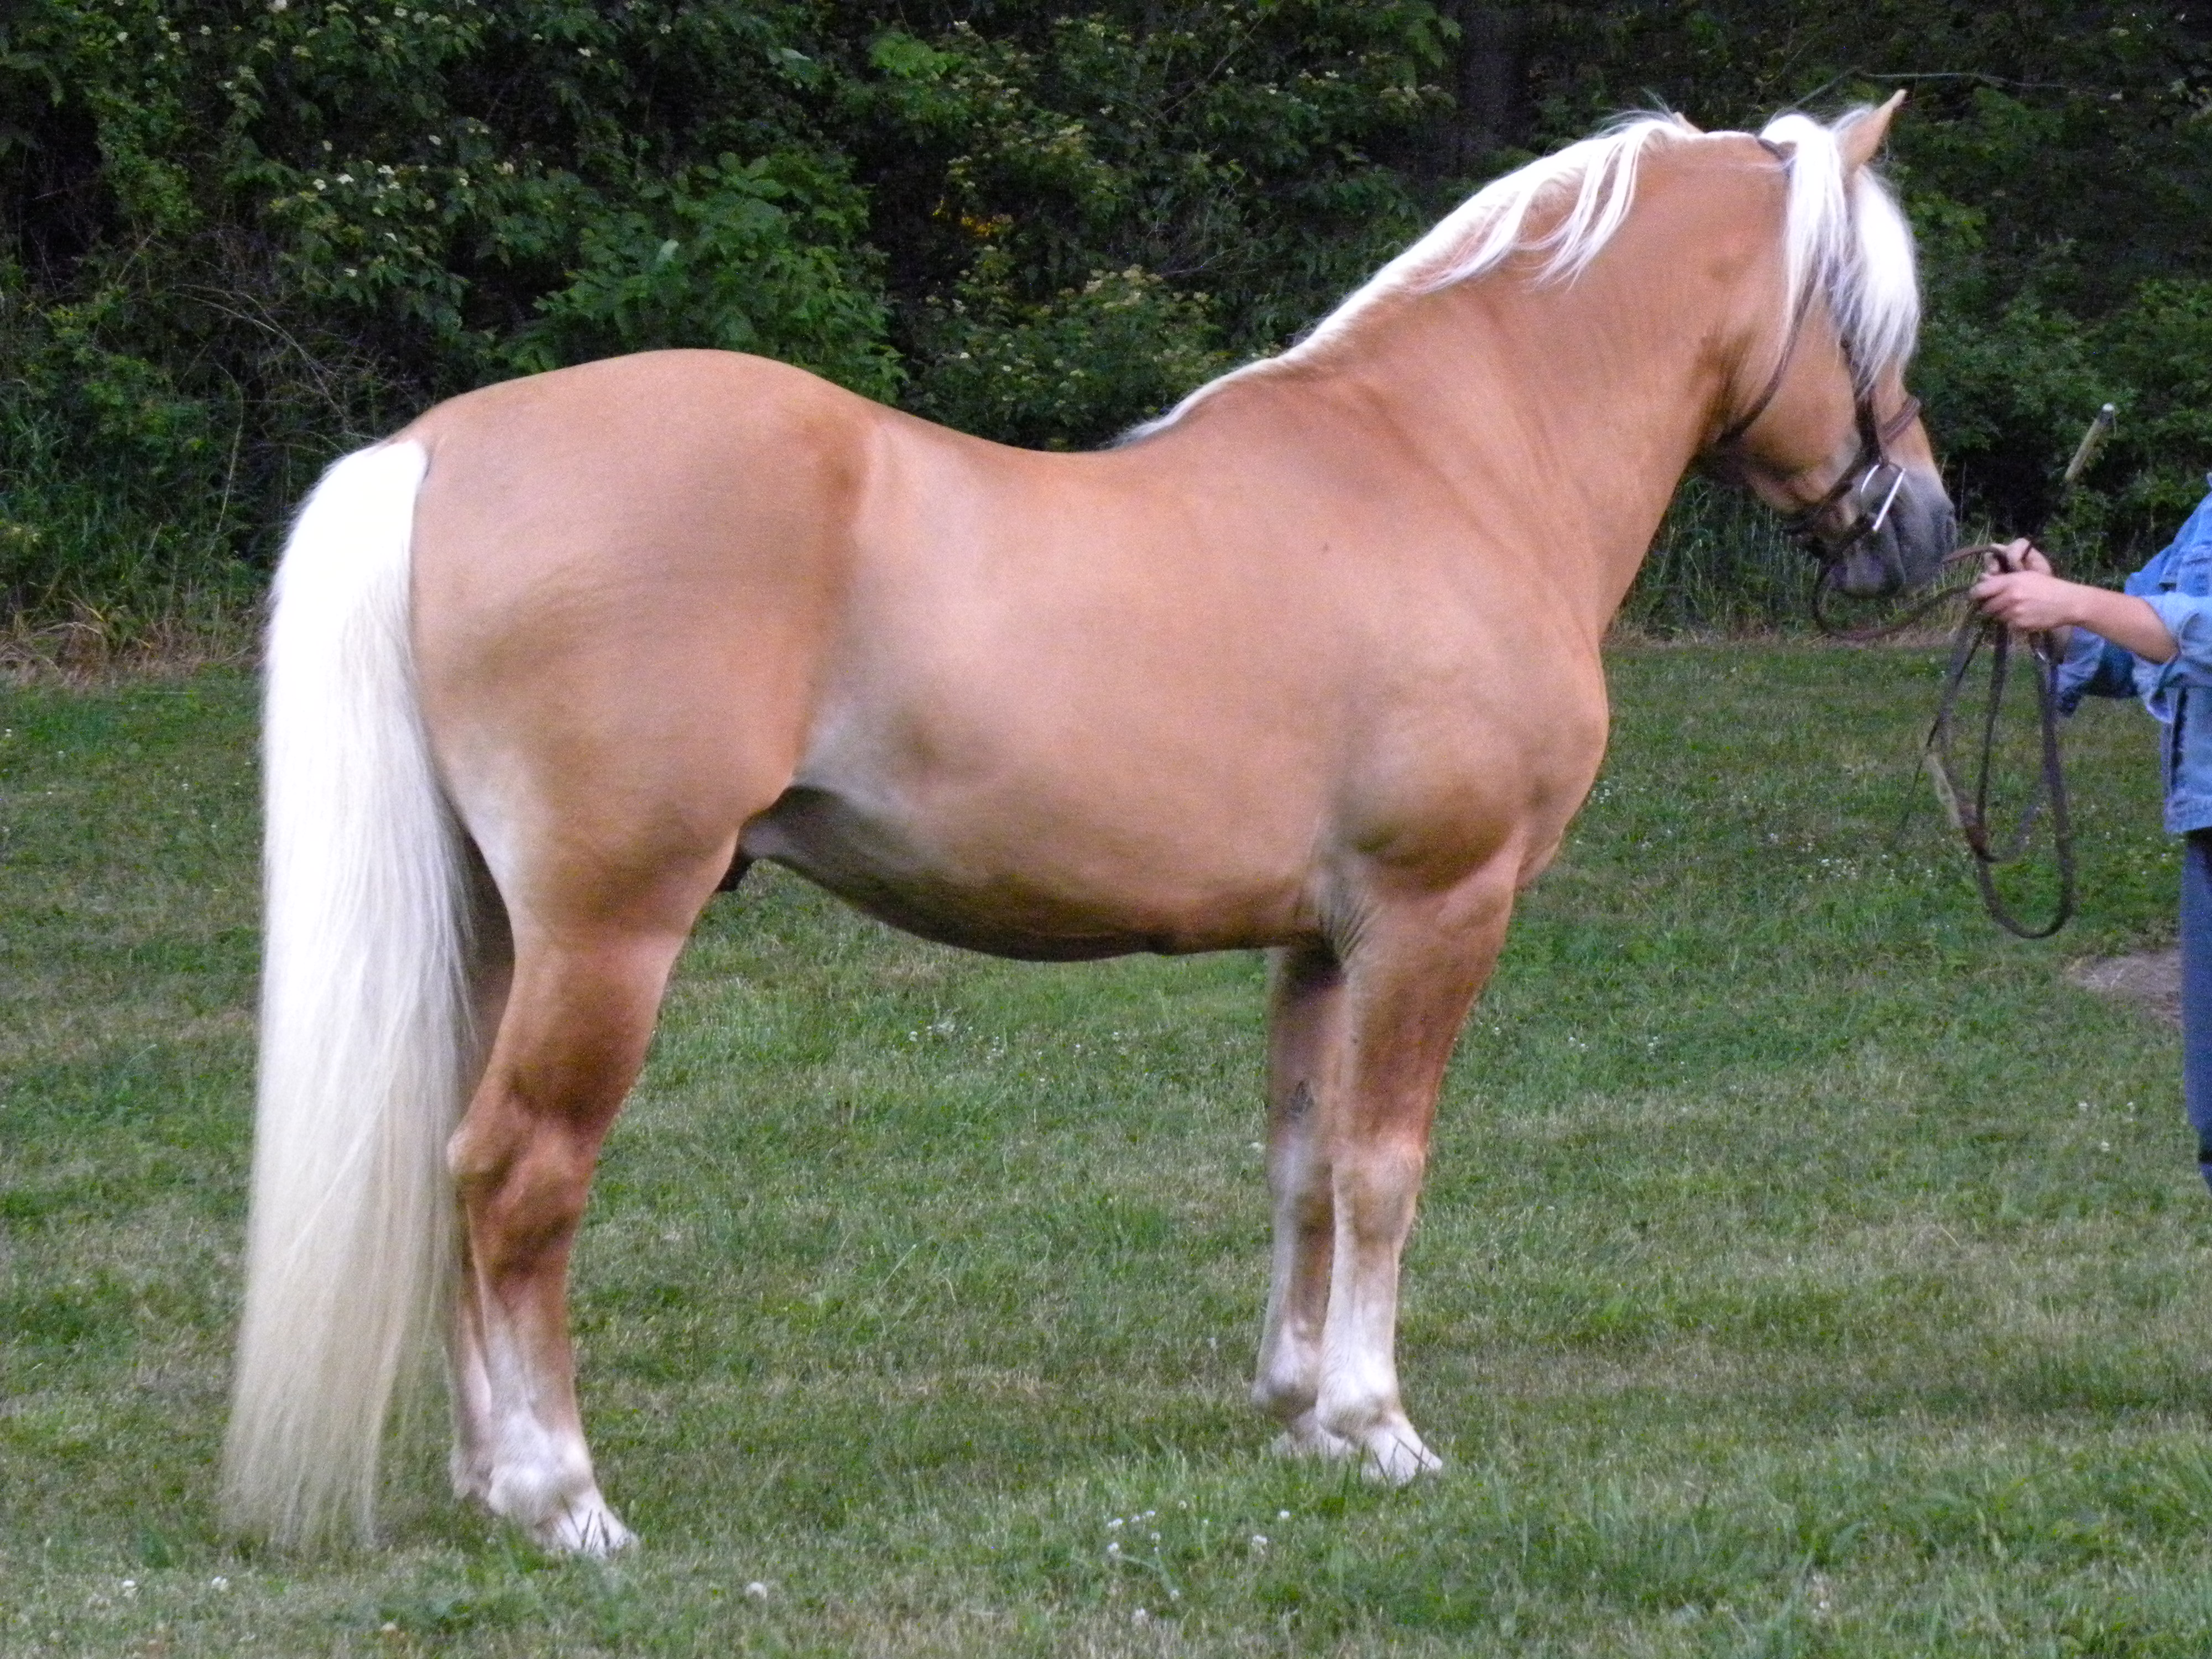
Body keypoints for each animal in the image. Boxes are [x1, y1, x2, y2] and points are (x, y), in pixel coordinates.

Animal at [223, 95, 1954, 1554]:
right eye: (1867, 324)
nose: (1925, 531)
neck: (1448, 469)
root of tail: (435, 447)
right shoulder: (1437, 910)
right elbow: (1386, 1164)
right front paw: (1382, 1426)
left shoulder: (1323, 941)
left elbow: (1304, 1163)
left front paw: (1300, 1412)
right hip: (608, 933)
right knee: (521, 1177)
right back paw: (561, 1495)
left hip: (497, 933)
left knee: (452, 1163)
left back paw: (484, 1476)